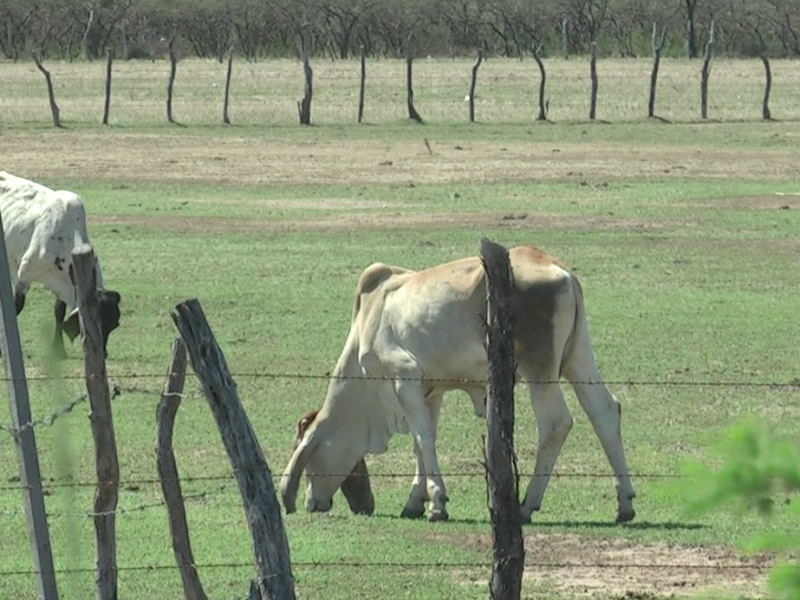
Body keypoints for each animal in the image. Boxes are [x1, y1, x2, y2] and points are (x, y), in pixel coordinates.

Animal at [0, 171, 122, 356]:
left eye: (114, 324)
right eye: (97, 323)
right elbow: (16, 308)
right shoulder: (24, 275)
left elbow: (59, 311)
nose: (104, 353)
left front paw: (58, 349)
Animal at [282, 246, 636, 524]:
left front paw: (436, 504)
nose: (311, 503)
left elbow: (422, 439)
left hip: (540, 367)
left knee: (555, 423)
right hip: (577, 358)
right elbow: (423, 441)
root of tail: (558, 268)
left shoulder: (403, 376)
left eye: (310, 461)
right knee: (604, 411)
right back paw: (624, 504)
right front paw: (415, 502)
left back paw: (526, 505)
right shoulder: (429, 389)